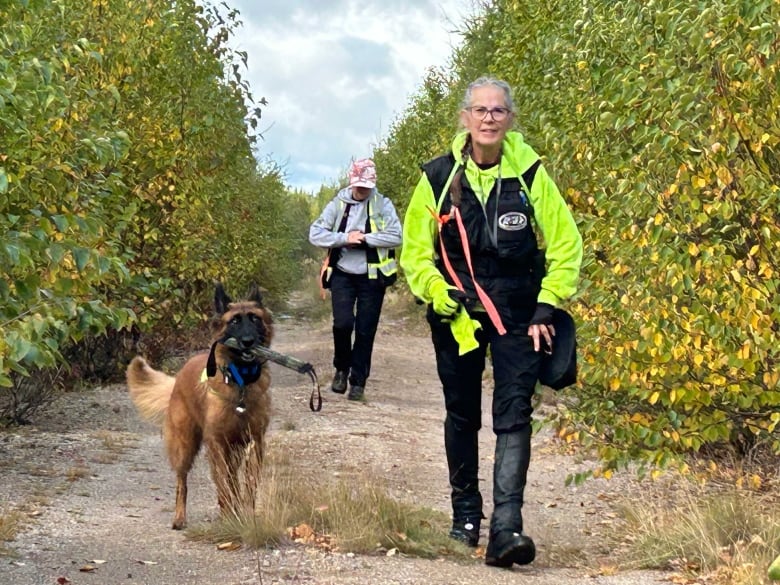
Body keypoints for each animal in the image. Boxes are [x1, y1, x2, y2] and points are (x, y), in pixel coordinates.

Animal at [126, 282, 272, 528]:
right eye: (234, 321)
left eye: (255, 319)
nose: (248, 341)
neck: (240, 382)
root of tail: (178, 377)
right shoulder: (217, 443)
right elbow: (223, 485)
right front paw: (228, 517)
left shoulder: (255, 442)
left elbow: (248, 485)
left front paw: (246, 516)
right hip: (184, 446)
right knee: (182, 482)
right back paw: (179, 517)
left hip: (233, 451)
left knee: (233, 480)